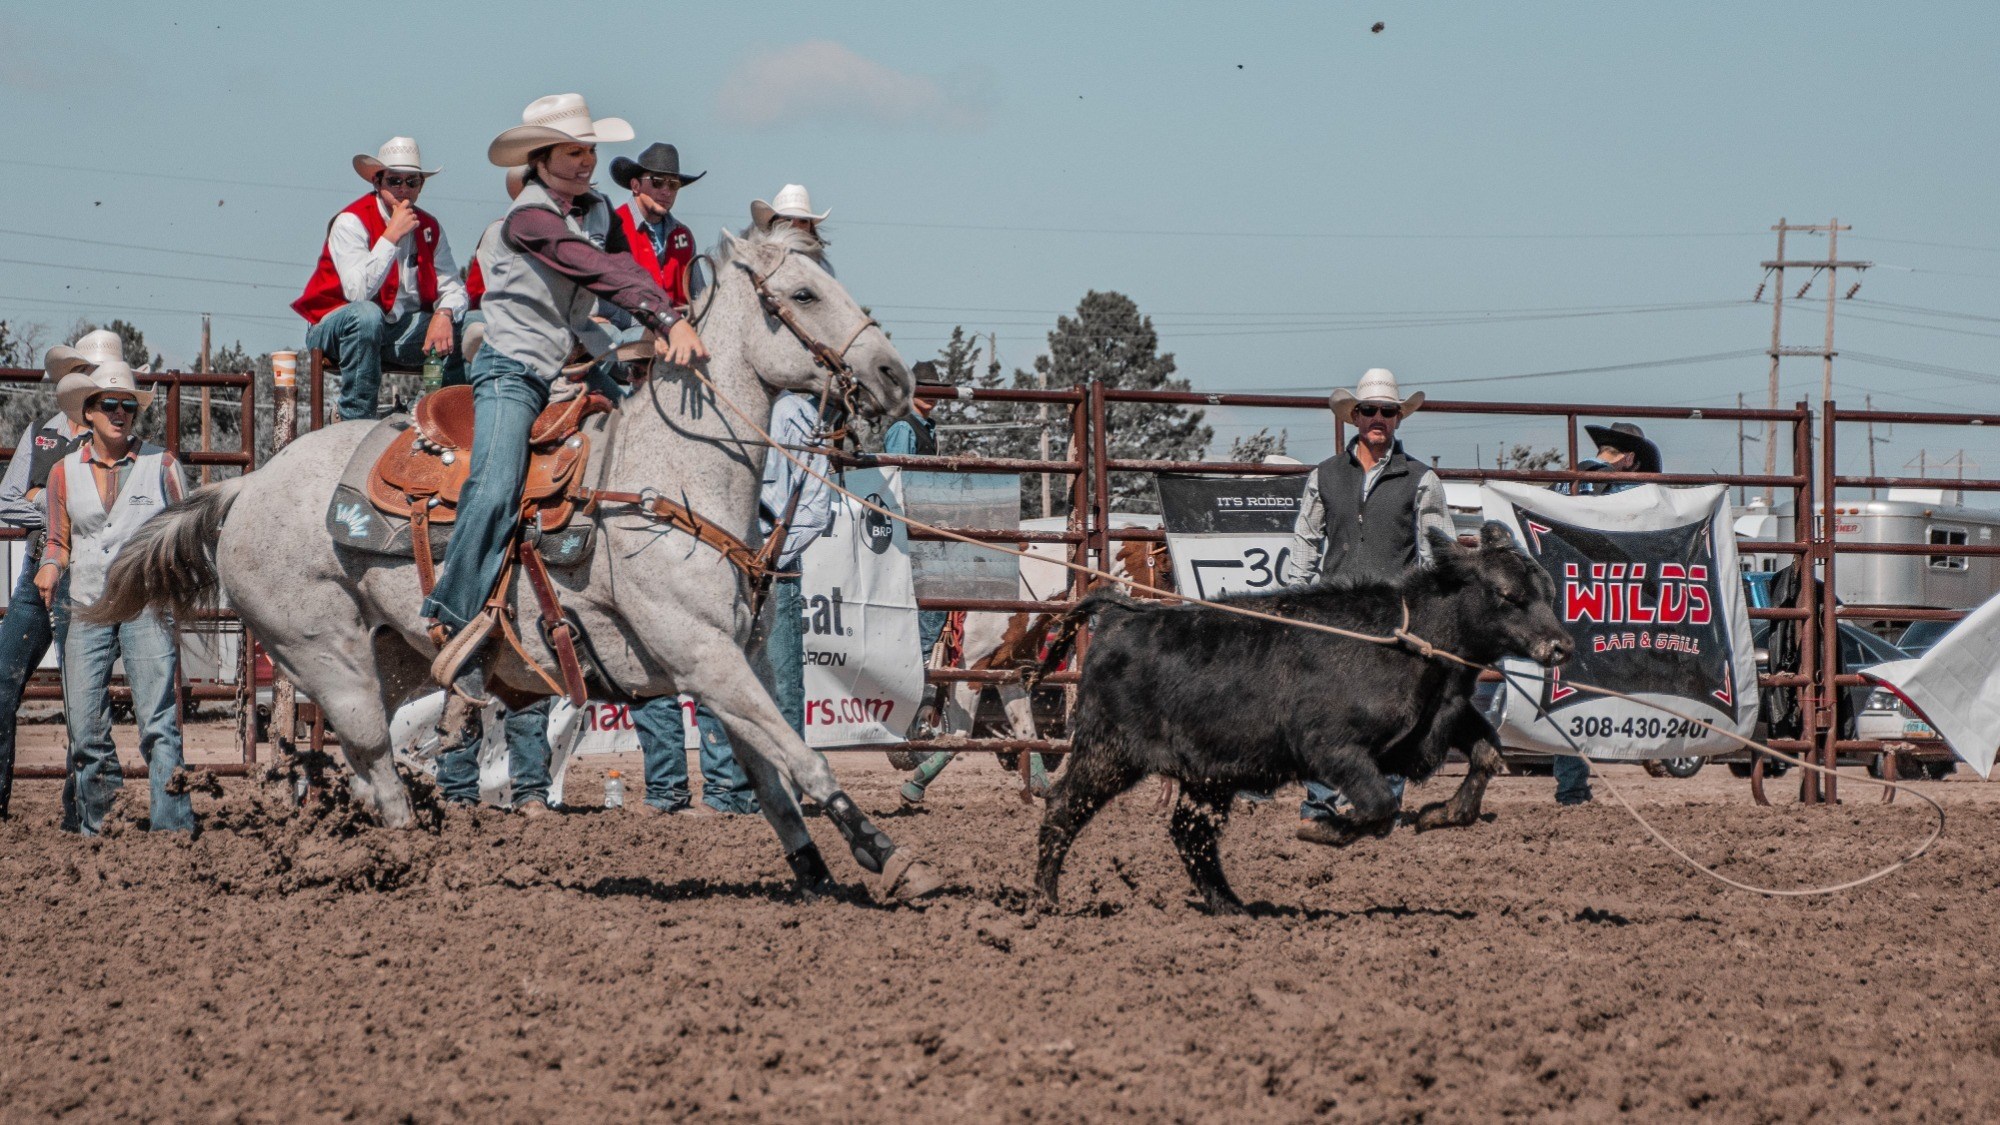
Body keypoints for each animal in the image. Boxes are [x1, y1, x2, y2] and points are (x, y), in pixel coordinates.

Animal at [86, 223, 944, 896]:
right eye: (802, 293)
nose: (894, 375)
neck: (668, 479)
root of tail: (247, 486)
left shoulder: (734, 661)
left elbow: (773, 778)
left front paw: (817, 870)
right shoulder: (702, 654)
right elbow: (805, 761)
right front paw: (887, 855)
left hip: (391, 655)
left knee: (372, 759)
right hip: (323, 653)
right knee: (375, 759)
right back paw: (410, 859)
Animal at [1040, 524, 1568, 912]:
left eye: (1548, 590)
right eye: (1507, 593)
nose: (1562, 645)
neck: (1410, 639)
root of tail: (1122, 615)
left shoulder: (1446, 719)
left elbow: (1486, 755)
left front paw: (1442, 814)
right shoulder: (1332, 748)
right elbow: (1380, 805)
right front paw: (1323, 829)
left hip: (1208, 775)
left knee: (1192, 834)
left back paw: (1233, 907)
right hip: (1108, 752)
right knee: (1063, 808)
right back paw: (1046, 902)